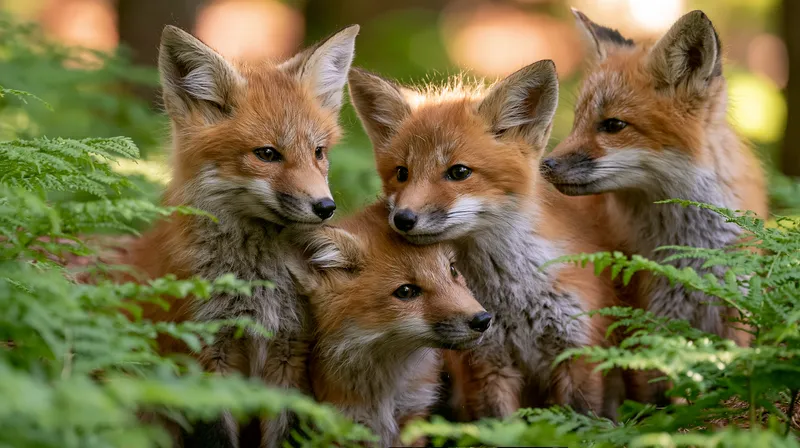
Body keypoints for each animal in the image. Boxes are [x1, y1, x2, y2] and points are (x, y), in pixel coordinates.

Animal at [116, 24, 359, 448]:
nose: (325, 207)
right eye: (267, 154)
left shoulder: (290, 353)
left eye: (318, 152)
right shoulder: (202, 356)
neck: (257, 287)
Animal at [288, 200, 491, 447]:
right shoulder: (342, 426)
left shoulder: (412, 417)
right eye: (405, 291)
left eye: (452, 270)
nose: (483, 320)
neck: (384, 394)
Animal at [347, 61, 623, 421]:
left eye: (459, 172)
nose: (402, 220)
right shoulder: (485, 362)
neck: (513, 299)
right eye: (401, 173)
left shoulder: (577, 354)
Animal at [539, 10, 767, 352]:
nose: (545, 165)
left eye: (613, 125)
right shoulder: (648, 320)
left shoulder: (735, 314)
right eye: (578, 121)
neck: (691, 249)